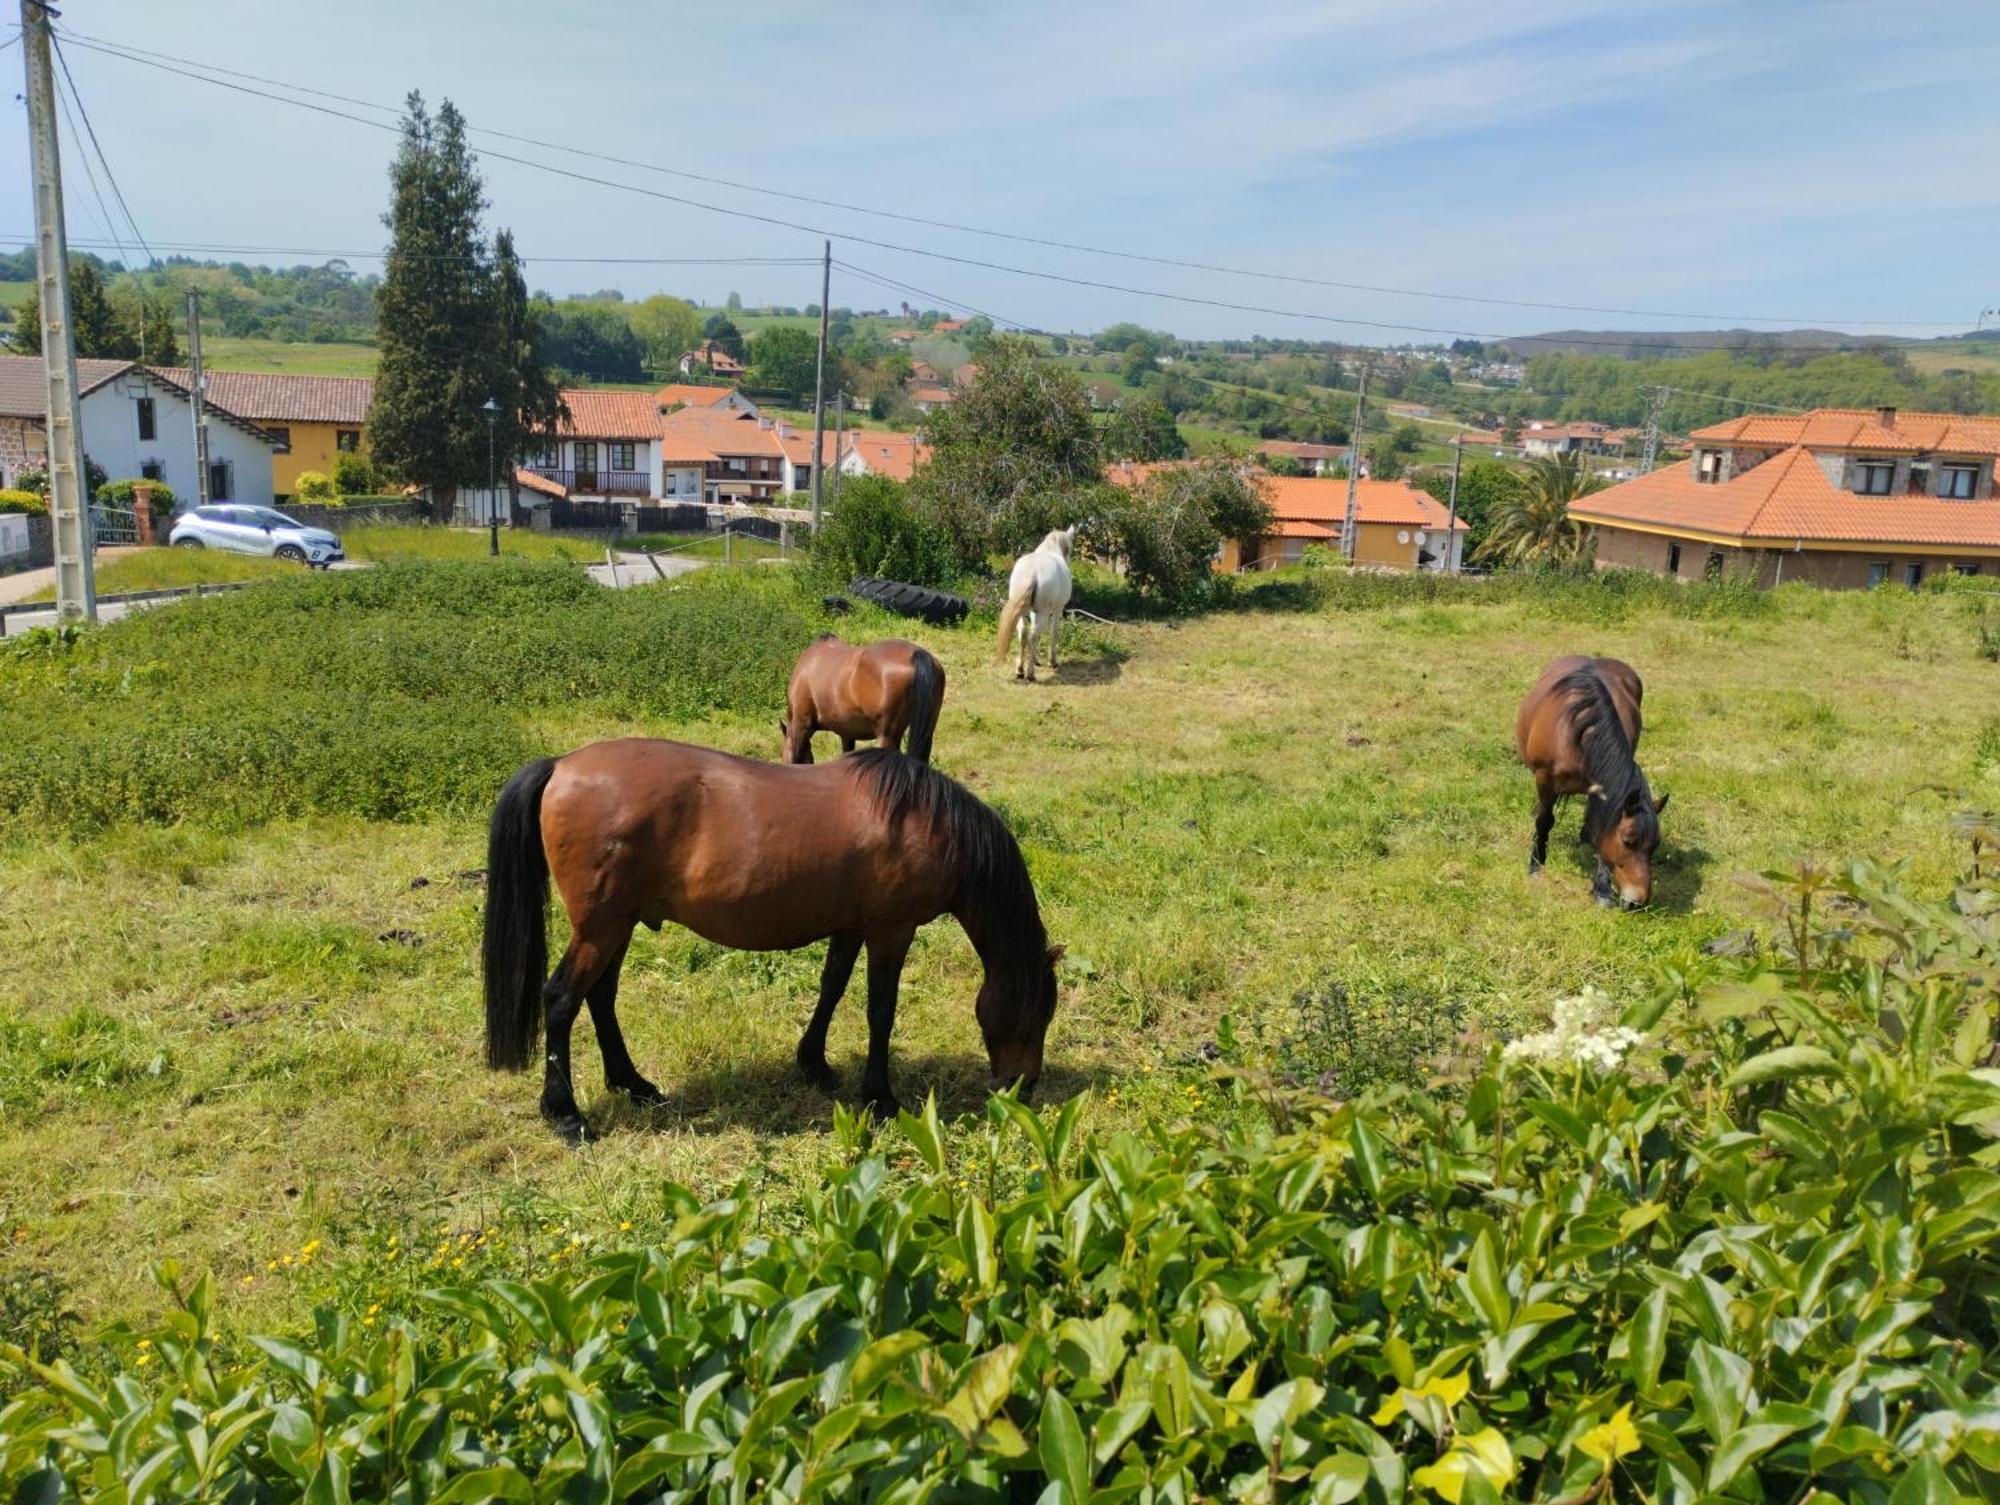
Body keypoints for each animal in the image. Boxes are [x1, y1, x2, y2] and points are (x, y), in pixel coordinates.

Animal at [480, 736, 1064, 1136]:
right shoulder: (890, 932)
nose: (1024, 1087)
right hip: (600, 928)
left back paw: (636, 1085)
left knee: (600, 997)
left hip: (617, 925)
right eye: (1037, 1012)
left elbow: (832, 987)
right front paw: (880, 1098)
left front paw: (814, 1064)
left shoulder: (852, 928)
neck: (923, 822)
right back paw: (566, 1115)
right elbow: (880, 1011)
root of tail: (561, 766)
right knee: (561, 1000)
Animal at [992, 524, 1072, 676]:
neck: (1050, 549)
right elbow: (1054, 633)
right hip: (1043, 612)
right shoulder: (1057, 610)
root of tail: (1032, 572)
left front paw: (1035, 659)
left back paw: (1020, 669)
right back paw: (1030, 674)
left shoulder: (1033, 612)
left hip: (1022, 612)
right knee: (1033, 637)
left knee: (1024, 634)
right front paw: (1053, 661)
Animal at [1512, 656, 1672, 904]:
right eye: (1627, 841)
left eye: (1654, 846)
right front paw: (1536, 865)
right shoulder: (1544, 778)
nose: (1637, 902)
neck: (1577, 734)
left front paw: (1602, 889)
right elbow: (1544, 821)